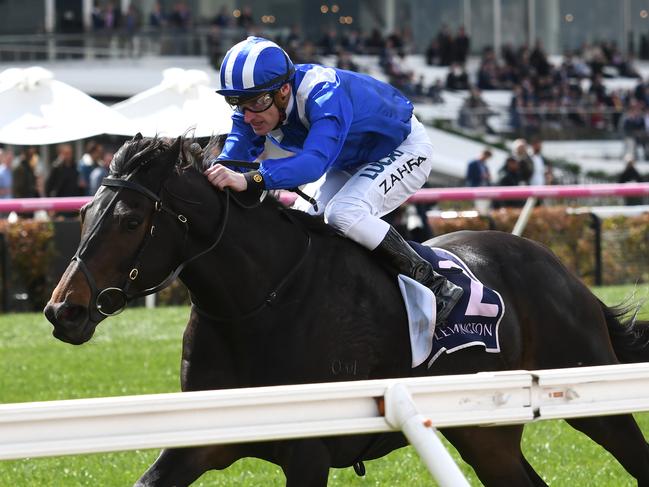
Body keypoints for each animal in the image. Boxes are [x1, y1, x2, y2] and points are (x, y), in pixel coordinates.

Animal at [44, 134, 648, 487]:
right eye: (84, 212)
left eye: (129, 220)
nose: (62, 311)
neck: (257, 303)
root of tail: (559, 269)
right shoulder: (202, 438)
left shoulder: (308, 451)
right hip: (485, 433)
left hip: (592, 393)